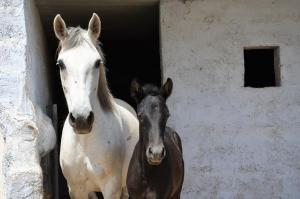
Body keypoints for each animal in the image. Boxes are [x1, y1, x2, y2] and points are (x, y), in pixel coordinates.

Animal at [53, 13, 139, 198]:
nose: (81, 119)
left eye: (97, 62)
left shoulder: (111, 188)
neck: (85, 142)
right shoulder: (76, 189)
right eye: (60, 64)